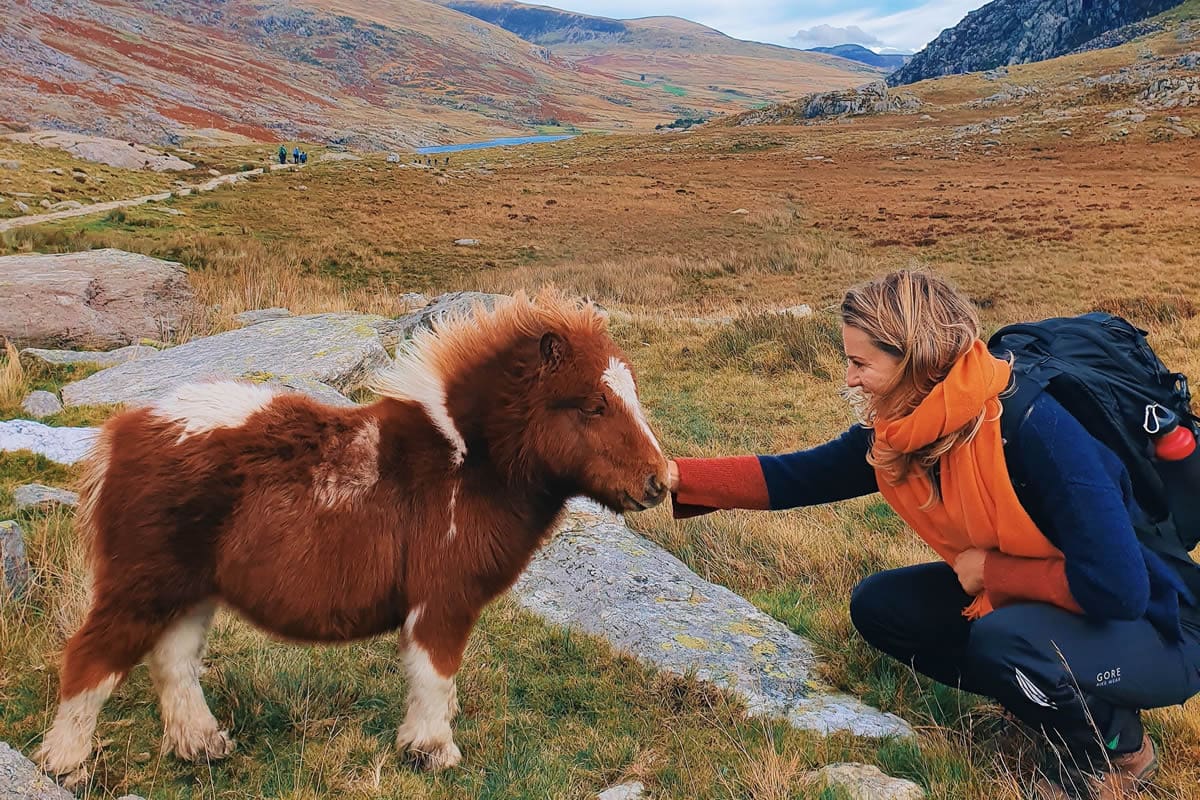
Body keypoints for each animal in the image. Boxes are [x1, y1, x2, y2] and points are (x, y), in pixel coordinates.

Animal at [35, 291, 668, 776]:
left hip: (188, 591)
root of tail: (126, 431)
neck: (468, 463)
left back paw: (202, 746)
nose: (660, 482)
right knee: (90, 660)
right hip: (141, 586)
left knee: (174, 663)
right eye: (592, 405)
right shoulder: (441, 601)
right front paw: (433, 752)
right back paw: (64, 763)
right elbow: (435, 676)